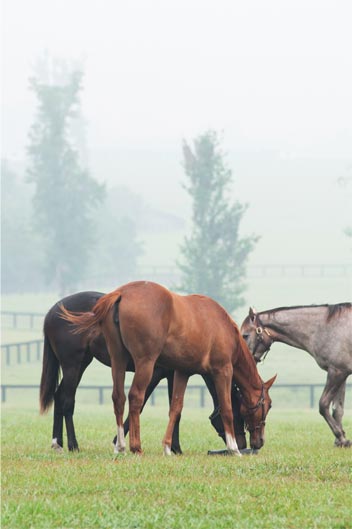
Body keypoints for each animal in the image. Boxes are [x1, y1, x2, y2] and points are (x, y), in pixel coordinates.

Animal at [59, 280, 276, 454]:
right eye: (268, 404)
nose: (259, 442)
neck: (223, 327)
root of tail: (122, 293)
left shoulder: (182, 372)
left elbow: (175, 408)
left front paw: (167, 447)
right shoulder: (223, 371)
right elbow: (226, 408)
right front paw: (233, 449)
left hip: (118, 361)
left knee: (118, 397)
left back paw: (120, 445)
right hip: (144, 363)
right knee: (135, 397)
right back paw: (135, 446)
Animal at [241, 304, 352, 448]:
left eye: (245, 335)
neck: (325, 326)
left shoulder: (337, 373)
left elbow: (323, 405)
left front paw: (341, 437)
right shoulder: (340, 373)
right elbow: (337, 410)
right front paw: (340, 440)